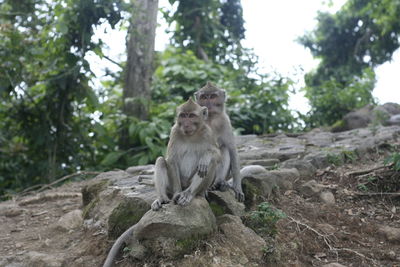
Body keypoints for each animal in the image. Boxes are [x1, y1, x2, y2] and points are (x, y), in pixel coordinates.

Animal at [101, 99, 220, 267]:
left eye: (191, 116)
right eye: (183, 116)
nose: (186, 124)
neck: (192, 135)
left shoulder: (208, 133)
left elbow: (216, 154)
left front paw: (207, 156)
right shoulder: (174, 132)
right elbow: (171, 160)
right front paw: (176, 194)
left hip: (195, 186)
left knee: (210, 164)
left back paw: (191, 194)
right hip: (171, 185)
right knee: (161, 161)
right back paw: (163, 198)